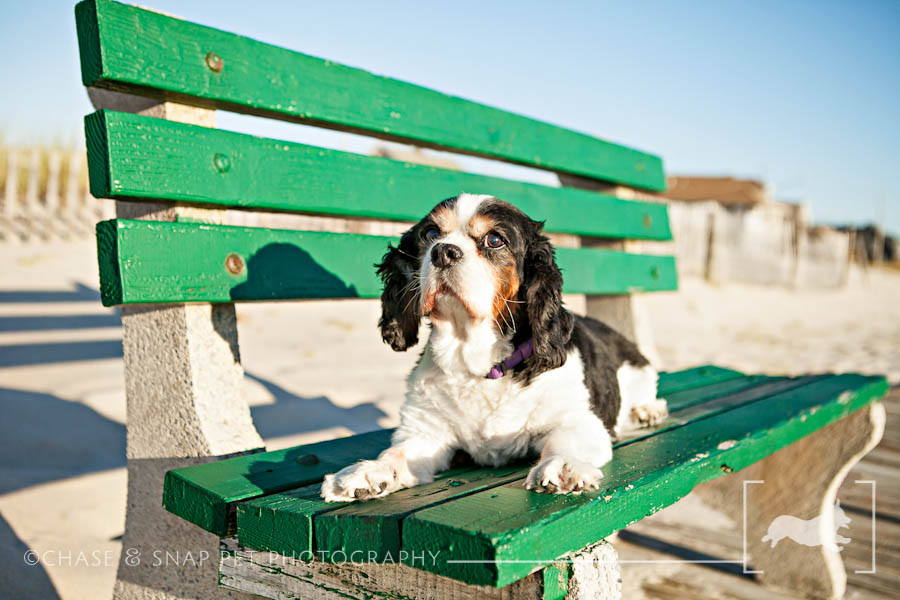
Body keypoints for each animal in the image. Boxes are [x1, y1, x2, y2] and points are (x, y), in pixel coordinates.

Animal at [320, 196, 664, 502]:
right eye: (430, 234)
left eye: (494, 239)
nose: (443, 252)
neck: (476, 364)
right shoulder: (425, 432)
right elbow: (397, 454)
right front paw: (366, 472)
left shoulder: (578, 419)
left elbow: (565, 442)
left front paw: (563, 466)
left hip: (639, 371)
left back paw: (648, 410)